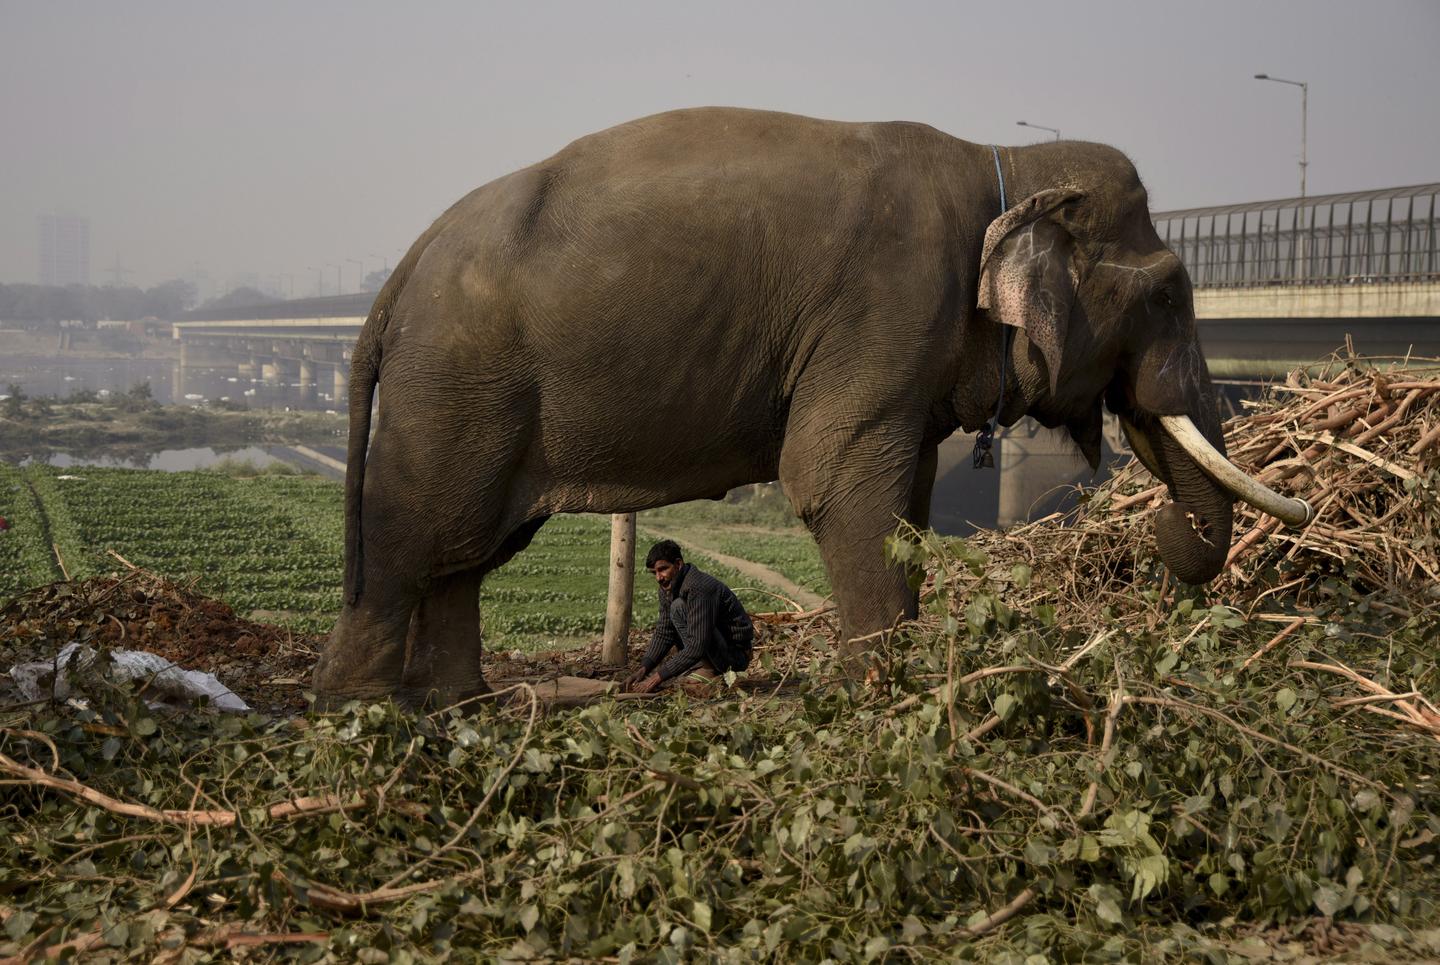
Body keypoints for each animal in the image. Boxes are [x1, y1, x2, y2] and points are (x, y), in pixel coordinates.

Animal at [311, 106, 1310, 707]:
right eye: (1171, 293)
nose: (1161, 535)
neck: (1001, 165)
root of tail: (399, 273)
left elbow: (906, 502)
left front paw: (900, 682)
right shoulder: (885, 309)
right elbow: (833, 484)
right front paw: (885, 699)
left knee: (465, 554)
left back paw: (459, 706)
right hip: (454, 388)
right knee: (412, 541)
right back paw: (364, 718)